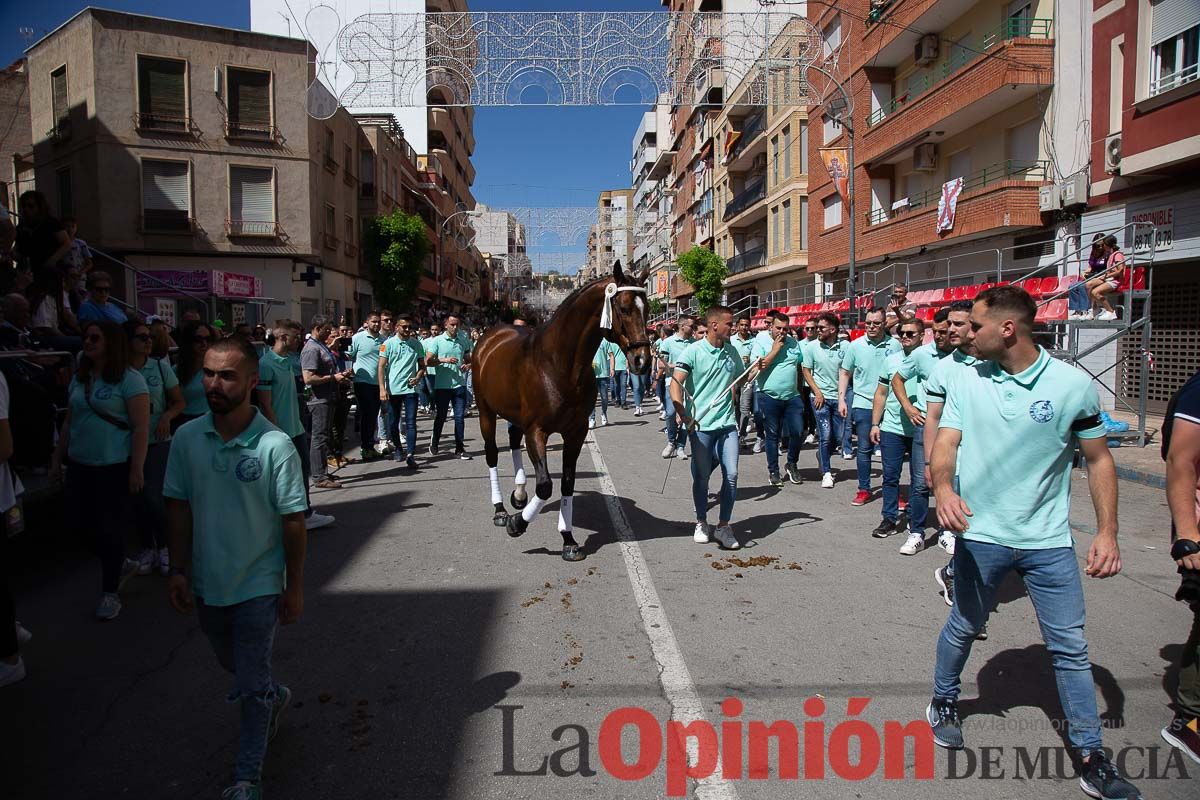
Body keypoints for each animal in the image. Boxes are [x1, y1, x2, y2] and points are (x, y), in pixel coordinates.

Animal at [472, 262, 652, 563]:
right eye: (625, 307)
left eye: (647, 308)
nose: (643, 361)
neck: (558, 364)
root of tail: (490, 338)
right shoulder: (537, 432)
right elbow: (545, 485)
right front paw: (517, 523)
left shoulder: (576, 432)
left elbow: (567, 482)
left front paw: (568, 538)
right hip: (486, 411)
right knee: (492, 454)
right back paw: (500, 510)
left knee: (513, 442)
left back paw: (519, 494)